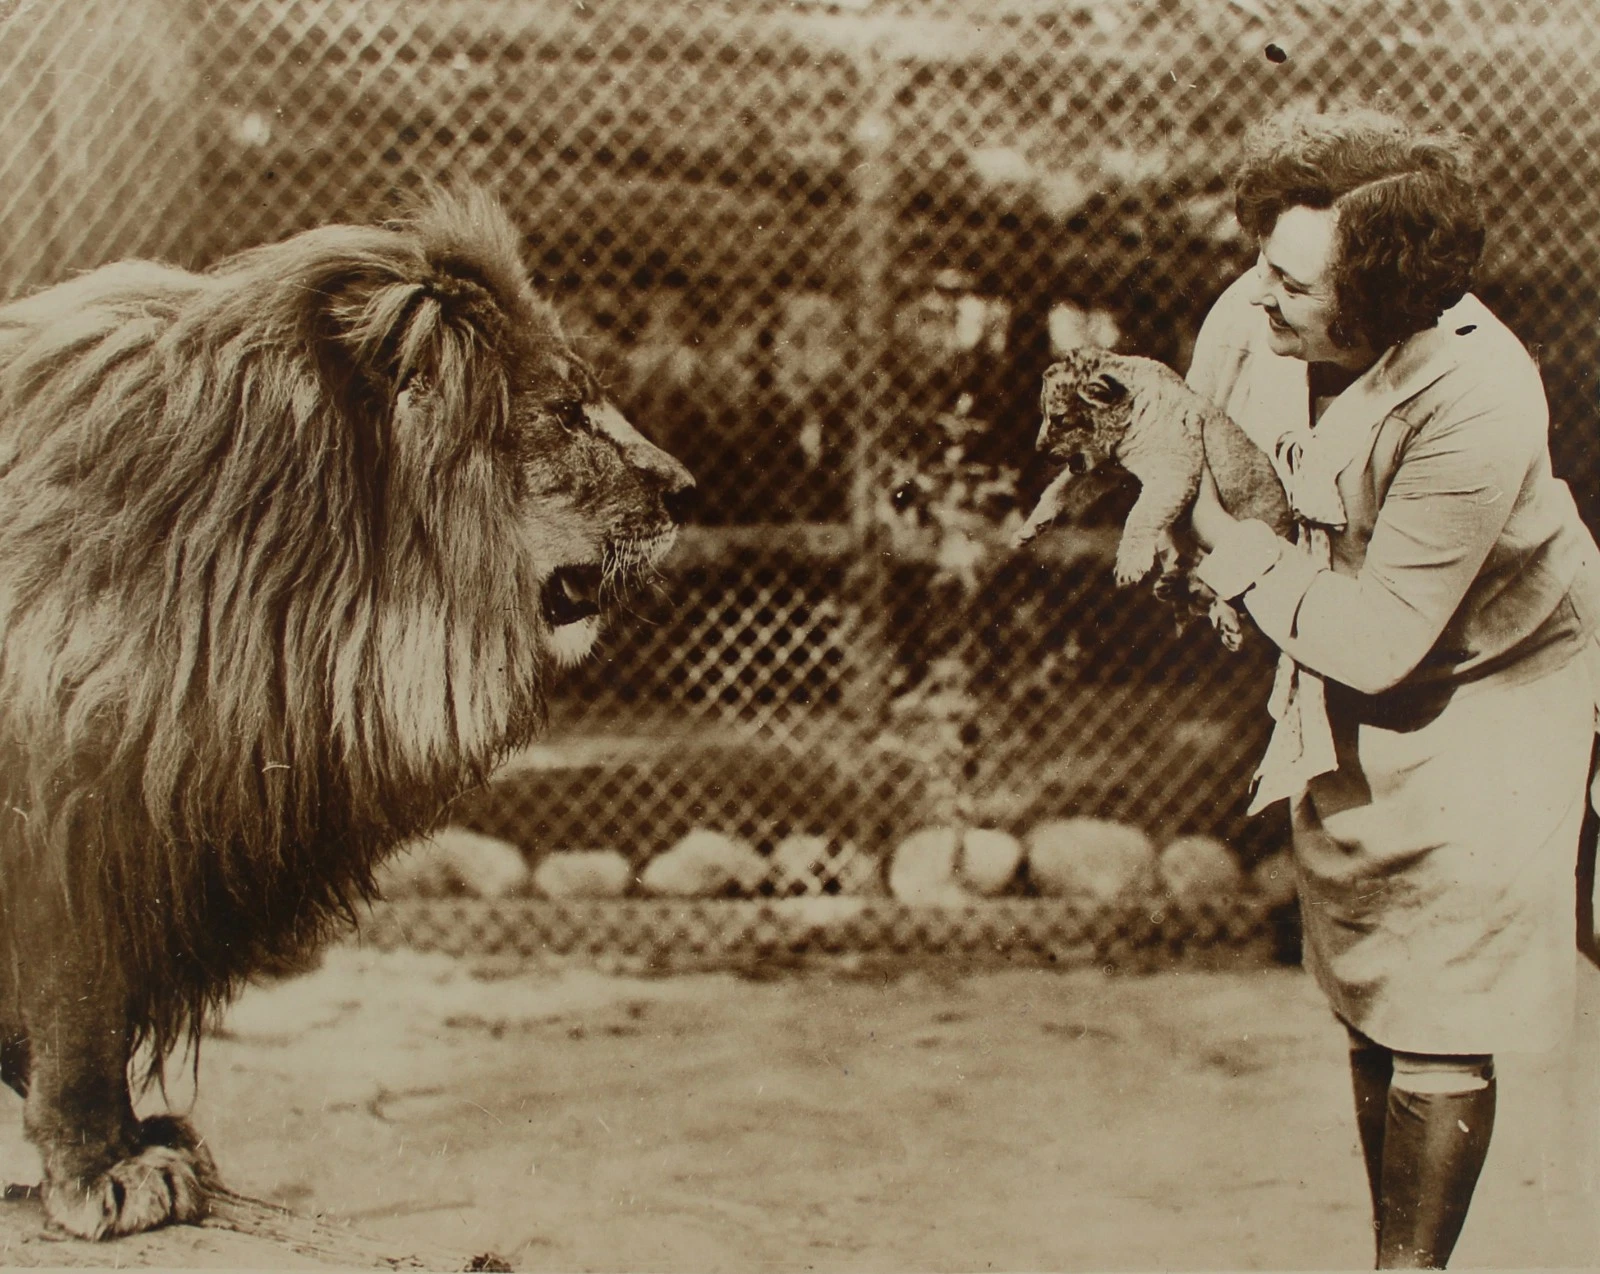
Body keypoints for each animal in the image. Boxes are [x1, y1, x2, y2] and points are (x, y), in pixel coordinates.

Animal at [1012, 347, 1291, 647]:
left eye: (1059, 419)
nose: (1039, 449)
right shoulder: (1105, 469)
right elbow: (1060, 487)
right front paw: (1030, 527)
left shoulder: (1174, 468)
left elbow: (1140, 515)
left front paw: (1129, 565)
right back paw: (1175, 589)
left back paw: (1222, 619)